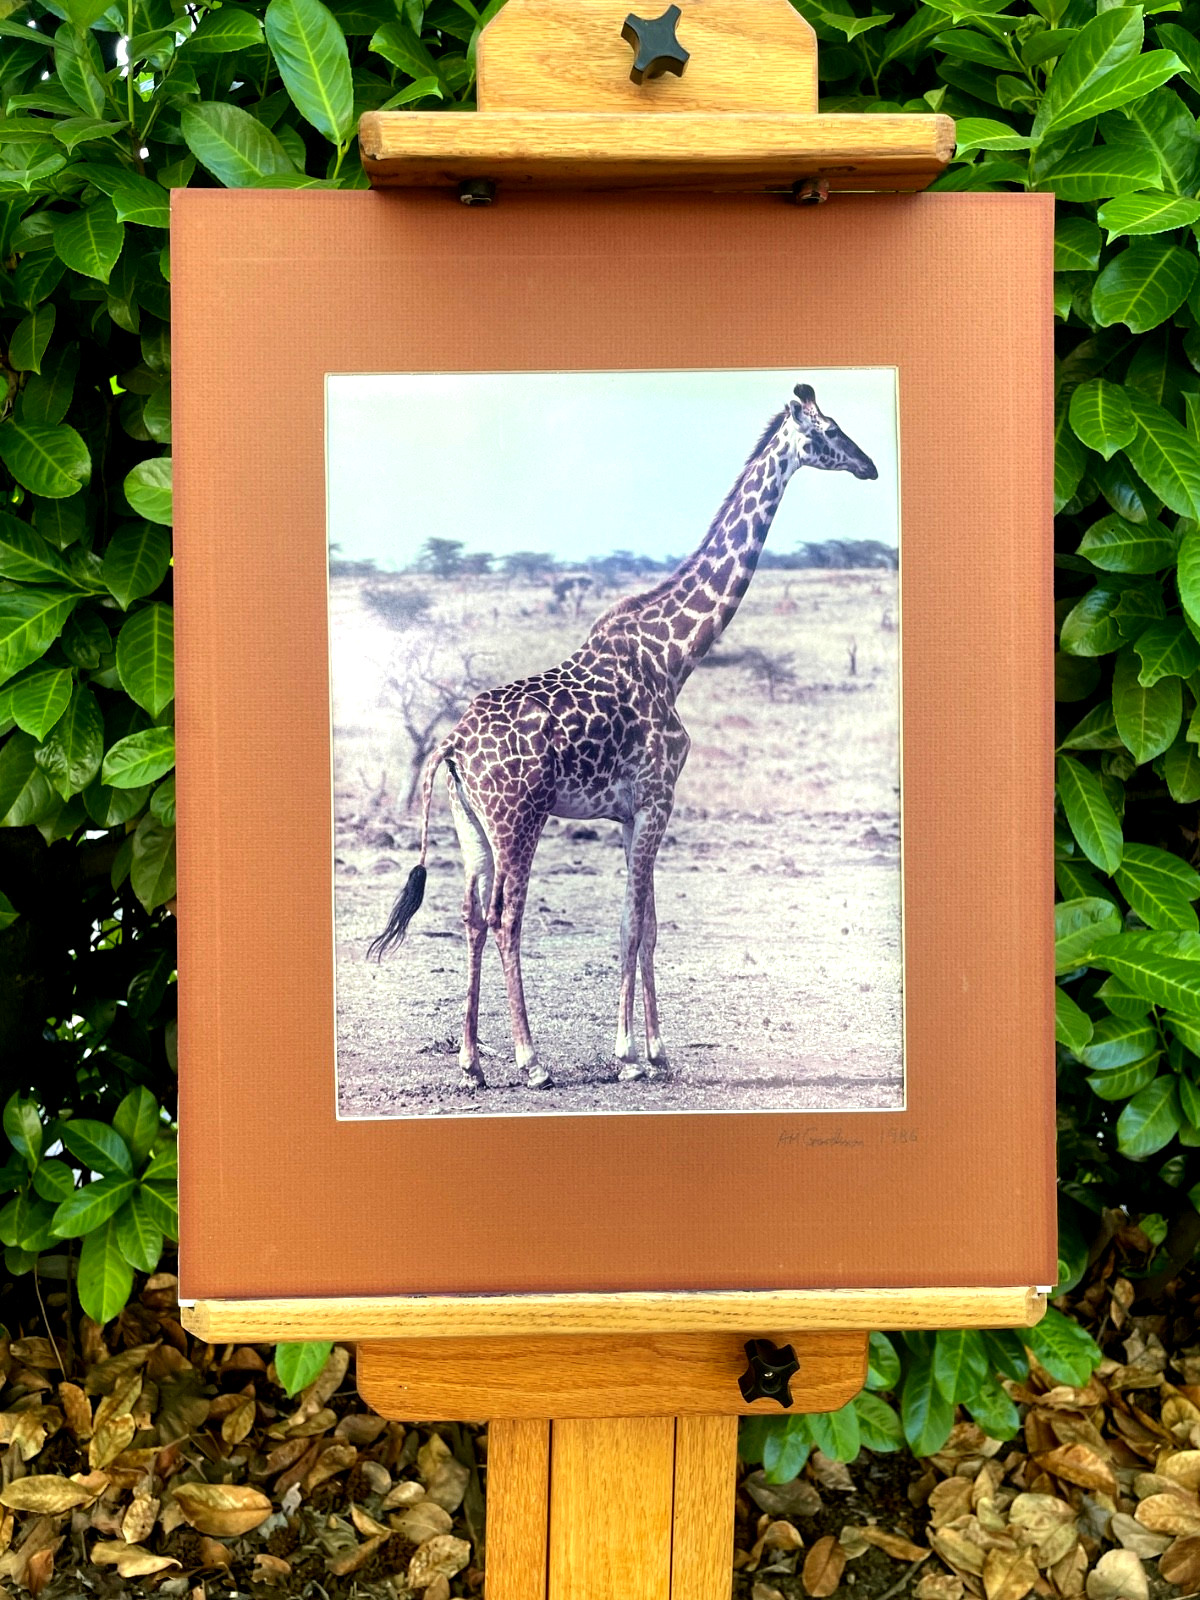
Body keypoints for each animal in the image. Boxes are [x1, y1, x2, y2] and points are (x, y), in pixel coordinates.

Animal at [369, 382, 879, 1091]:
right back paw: (530, 1061)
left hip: (468, 823)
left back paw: (471, 1062)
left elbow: (643, 924)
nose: (870, 466)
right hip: (518, 818)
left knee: (470, 916)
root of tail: (451, 746)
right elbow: (637, 922)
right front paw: (628, 1054)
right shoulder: (658, 798)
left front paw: (656, 1049)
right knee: (505, 918)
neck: (676, 656)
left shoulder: (634, 811)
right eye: (830, 431)